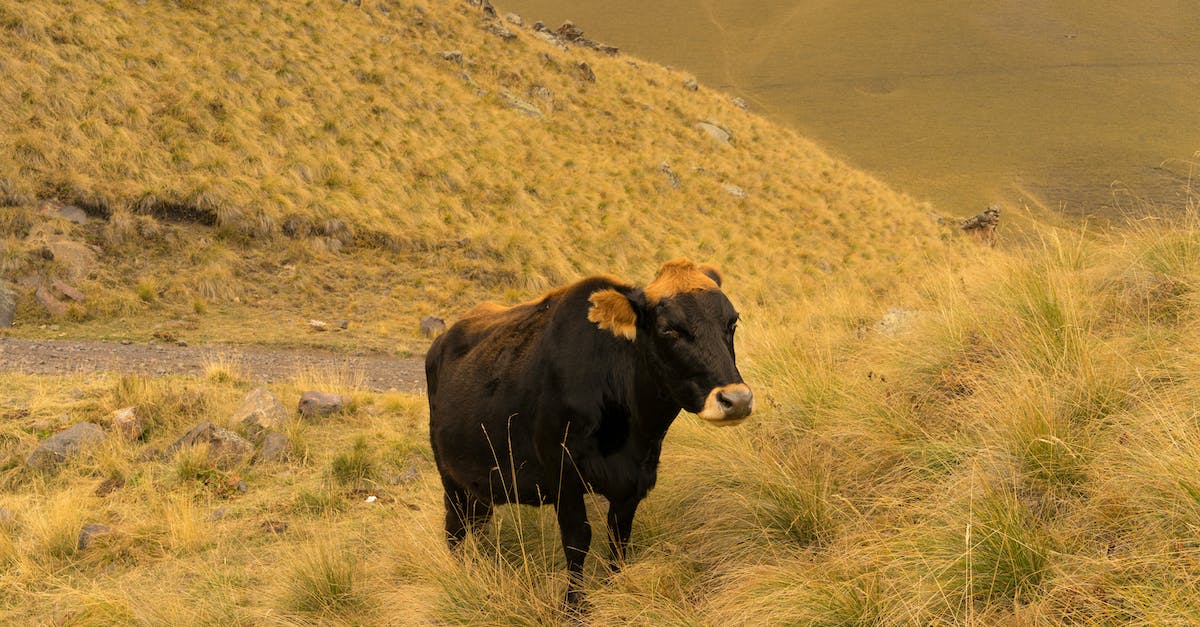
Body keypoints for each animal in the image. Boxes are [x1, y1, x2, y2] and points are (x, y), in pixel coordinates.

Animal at [425, 258, 753, 604]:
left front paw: (613, 589)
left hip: (482, 483)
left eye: (731, 322)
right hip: (449, 476)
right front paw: (574, 606)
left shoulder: (634, 481)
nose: (737, 399)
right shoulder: (561, 473)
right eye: (669, 329)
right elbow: (577, 539)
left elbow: (619, 538)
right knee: (455, 529)